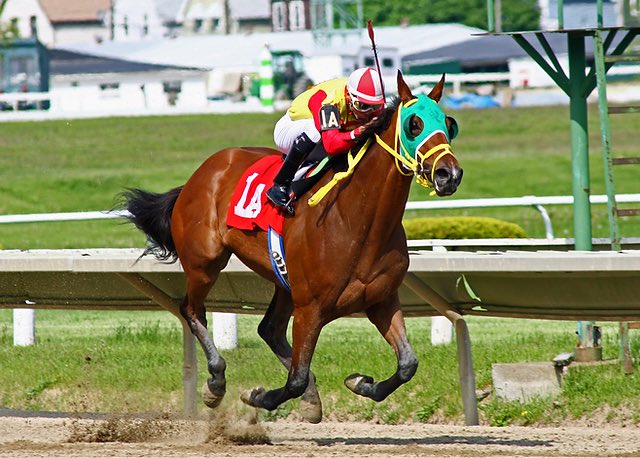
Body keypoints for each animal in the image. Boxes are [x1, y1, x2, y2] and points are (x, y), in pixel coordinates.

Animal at [122, 71, 462, 423]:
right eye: (414, 124)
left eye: (449, 124)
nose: (448, 174)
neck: (358, 222)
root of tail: (201, 173)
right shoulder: (310, 307)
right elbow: (295, 378)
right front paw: (258, 396)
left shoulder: (381, 299)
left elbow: (408, 364)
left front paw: (360, 382)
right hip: (204, 262)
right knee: (191, 310)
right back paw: (216, 381)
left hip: (283, 280)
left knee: (269, 329)